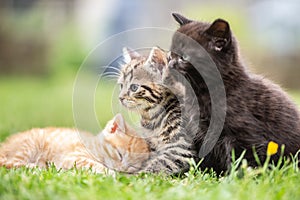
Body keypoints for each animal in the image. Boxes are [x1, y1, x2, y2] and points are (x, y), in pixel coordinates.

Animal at [0, 113, 149, 173]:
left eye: (132, 166)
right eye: (119, 154)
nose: (122, 169)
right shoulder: (72, 157)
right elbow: (93, 164)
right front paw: (110, 173)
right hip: (30, 144)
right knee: (9, 162)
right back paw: (34, 167)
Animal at [170, 12, 300, 175]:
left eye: (184, 57)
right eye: (170, 54)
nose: (170, 63)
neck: (202, 94)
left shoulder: (244, 135)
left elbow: (244, 160)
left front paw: (239, 178)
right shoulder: (198, 133)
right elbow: (198, 158)